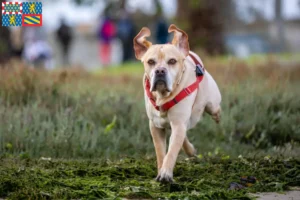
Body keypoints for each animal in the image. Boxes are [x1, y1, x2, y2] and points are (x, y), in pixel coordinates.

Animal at [132, 24, 221, 182]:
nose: (160, 71)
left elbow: (172, 151)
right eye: (151, 62)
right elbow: (161, 152)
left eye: (172, 61)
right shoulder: (156, 126)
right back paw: (190, 150)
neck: (163, 96)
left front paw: (166, 174)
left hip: (212, 104)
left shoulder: (178, 123)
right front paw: (161, 170)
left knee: (215, 110)